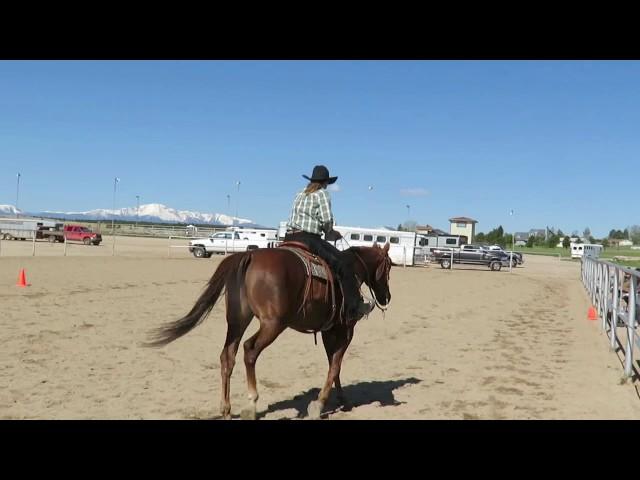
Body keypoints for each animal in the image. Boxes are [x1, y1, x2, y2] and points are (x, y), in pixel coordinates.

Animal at [147, 242, 392, 418]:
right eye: (388, 267)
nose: (387, 297)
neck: (352, 271)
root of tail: (249, 256)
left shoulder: (328, 330)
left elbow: (333, 364)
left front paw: (340, 399)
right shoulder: (345, 330)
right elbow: (336, 365)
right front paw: (322, 403)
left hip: (237, 320)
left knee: (228, 355)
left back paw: (226, 408)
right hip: (273, 324)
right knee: (249, 349)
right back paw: (252, 403)